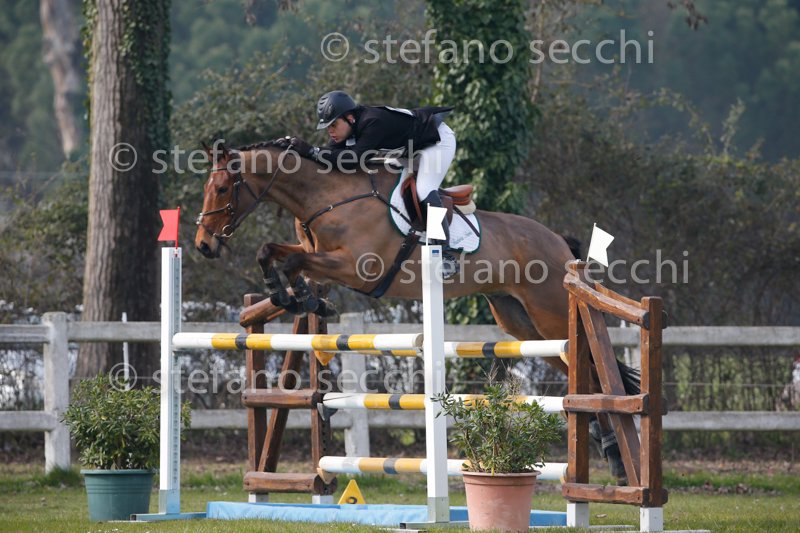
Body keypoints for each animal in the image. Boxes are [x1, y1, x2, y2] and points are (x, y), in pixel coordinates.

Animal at [194, 140, 637, 483]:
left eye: (221, 188)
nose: (203, 245)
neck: (329, 198)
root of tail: (559, 243)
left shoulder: (357, 268)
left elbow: (290, 261)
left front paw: (297, 295)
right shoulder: (319, 254)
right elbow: (272, 252)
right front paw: (299, 297)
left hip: (551, 313)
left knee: (592, 369)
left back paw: (617, 460)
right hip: (522, 323)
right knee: (578, 367)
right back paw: (611, 452)